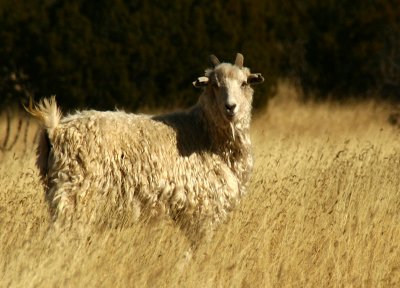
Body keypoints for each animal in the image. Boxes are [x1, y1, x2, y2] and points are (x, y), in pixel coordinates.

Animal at [28, 53, 266, 236]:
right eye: (215, 85)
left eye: (244, 83)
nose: (231, 107)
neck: (204, 134)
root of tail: (56, 130)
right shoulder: (202, 210)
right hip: (73, 193)